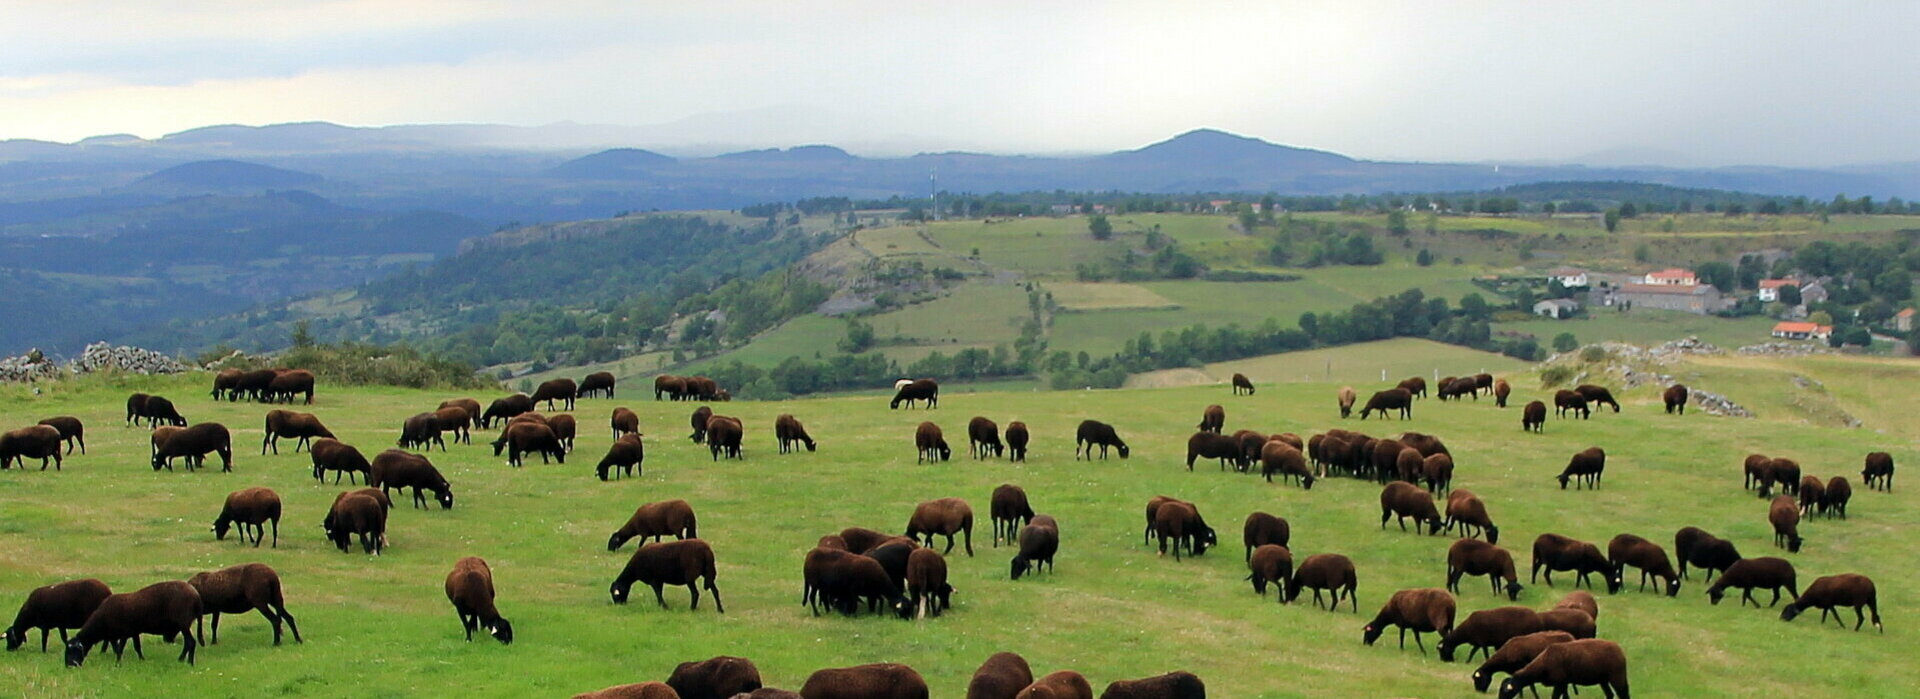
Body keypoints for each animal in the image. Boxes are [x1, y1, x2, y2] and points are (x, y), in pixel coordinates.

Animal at [61, 579, 200, 664]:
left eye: (73, 650)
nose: (69, 666)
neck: (102, 621)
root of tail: (196, 595)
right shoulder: (133, 632)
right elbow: (136, 647)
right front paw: (142, 660)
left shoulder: (124, 632)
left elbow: (119, 648)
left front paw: (118, 663)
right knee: (189, 643)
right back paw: (183, 660)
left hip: (183, 622)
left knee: (191, 642)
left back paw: (187, 661)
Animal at [1489, 637, 1628, 699]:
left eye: (1505, 691)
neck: (1543, 663)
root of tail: (1619, 650)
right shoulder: (1563, 683)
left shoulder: (1560, 683)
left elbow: (1555, 697)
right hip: (1603, 679)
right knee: (1610, 694)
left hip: (1617, 675)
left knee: (1623, 693)